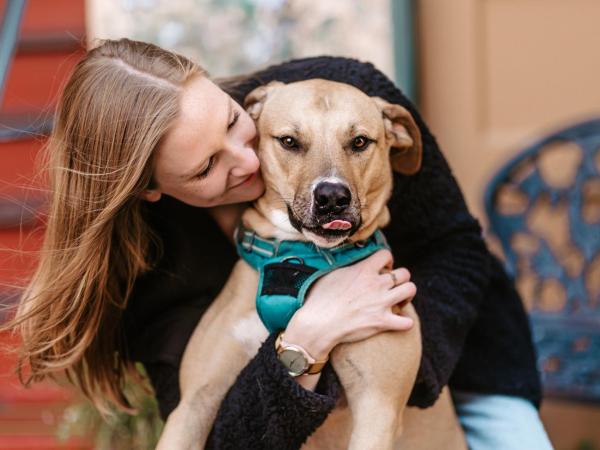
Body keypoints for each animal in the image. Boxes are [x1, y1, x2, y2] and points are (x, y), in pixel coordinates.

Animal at [155, 80, 464, 450]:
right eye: (289, 141)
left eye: (360, 142)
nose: (332, 197)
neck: (301, 259)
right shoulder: (194, 403)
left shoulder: (378, 408)